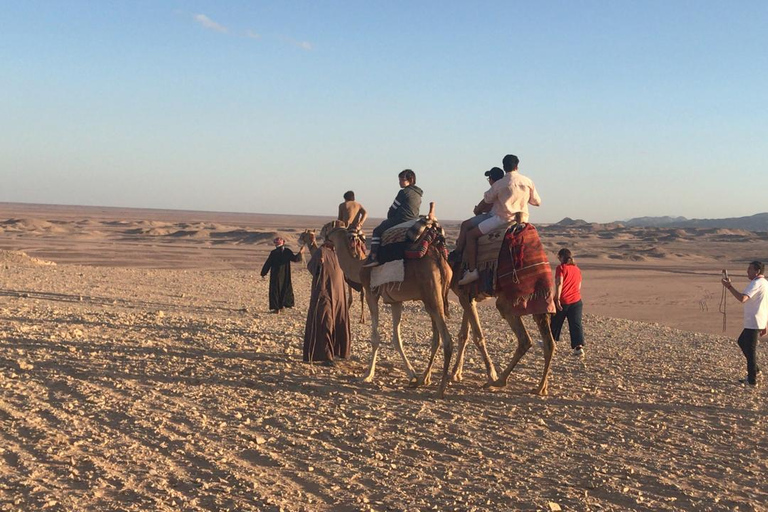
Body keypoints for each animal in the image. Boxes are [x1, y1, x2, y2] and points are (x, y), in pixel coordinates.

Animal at [318, 206, 456, 398]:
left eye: (328, 227)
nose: (319, 233)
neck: (359, 266)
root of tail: (439, 258)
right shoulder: (395, 302)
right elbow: (397, 339)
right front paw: (412, 374)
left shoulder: (371, 292)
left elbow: (376, 337)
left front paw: (367, 375)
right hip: (432, 298)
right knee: (436, 339)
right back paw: (423, 379)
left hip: (433, 296)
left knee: (447, 340)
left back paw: (440, 388)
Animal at [448, 223, 556, 396]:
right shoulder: (468, 298)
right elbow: (464, 335)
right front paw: (456, 373)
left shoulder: (465, 297)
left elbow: (478, 337)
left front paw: (491, 374)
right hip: (541, 301)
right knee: (548, 343)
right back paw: (541, 387)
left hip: (508, 302)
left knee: (525, 339)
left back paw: (499, 381)